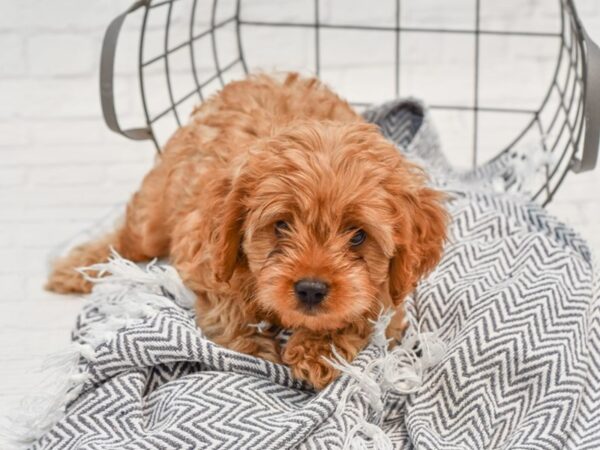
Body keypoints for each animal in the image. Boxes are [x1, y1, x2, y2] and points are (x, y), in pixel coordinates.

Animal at [45, 74, 446, 390]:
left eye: (358, 235)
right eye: (281, 225)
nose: (311, 289)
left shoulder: (391, 299)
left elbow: (363, 313)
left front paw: (317, 350)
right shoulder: (205, 251)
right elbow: (229, 305)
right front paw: (257, 349)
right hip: (154, 216)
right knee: (127, 240)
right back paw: (75, 267)